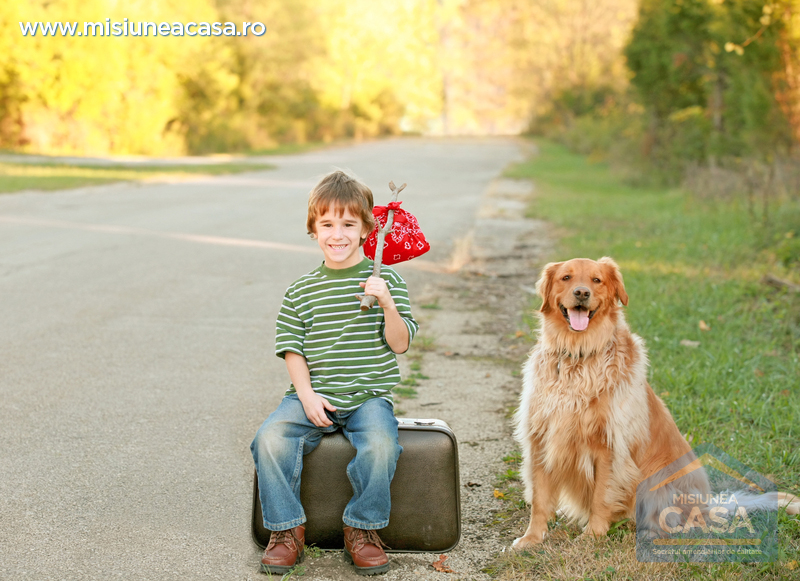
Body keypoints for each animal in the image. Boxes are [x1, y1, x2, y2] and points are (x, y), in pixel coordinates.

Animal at [512, 256, 792, 548]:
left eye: (596, 280)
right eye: (566, 278)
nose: (581, 293)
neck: (579, 354)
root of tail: (707, 505)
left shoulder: (610, 445)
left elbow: (601, 497)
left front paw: (592, 536)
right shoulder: (541, 436)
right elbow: (540, 499)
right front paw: (532, 538)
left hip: (659, 484)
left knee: (683, 522)